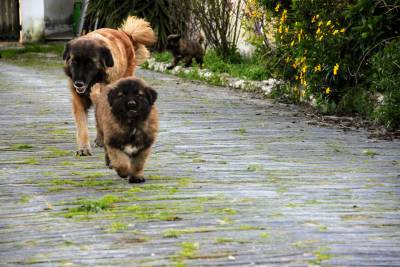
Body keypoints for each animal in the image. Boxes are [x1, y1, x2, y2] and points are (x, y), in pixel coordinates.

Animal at [63, 15, 156, 156]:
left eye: (90, 63)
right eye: (74, 61)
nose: (78, 83)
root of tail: (126, 34)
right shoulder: (79, 100)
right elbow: (82, 126)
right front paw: (84, 148)